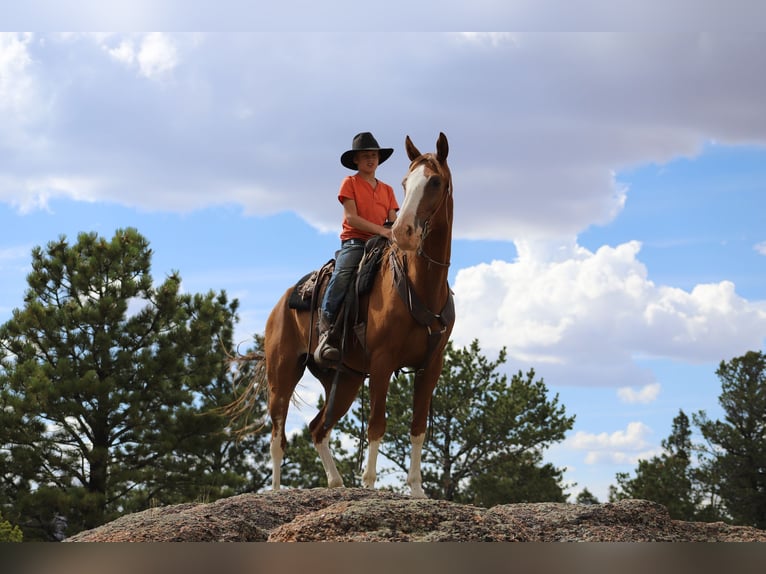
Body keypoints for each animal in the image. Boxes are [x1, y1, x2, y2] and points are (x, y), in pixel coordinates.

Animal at [231, 133, 452, 498]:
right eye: (405, 183)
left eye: (435, 181)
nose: (403, 231)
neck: (420, 286)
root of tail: (282, 301)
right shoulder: (382, 361)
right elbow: (377, 424)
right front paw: (370, 485)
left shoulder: (431, 366)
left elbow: (418, 426)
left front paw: (418, 491)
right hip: (282, 374)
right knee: (278, 436)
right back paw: (277, 491)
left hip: (345, 380)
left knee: (317, 427)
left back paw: (335, 484)